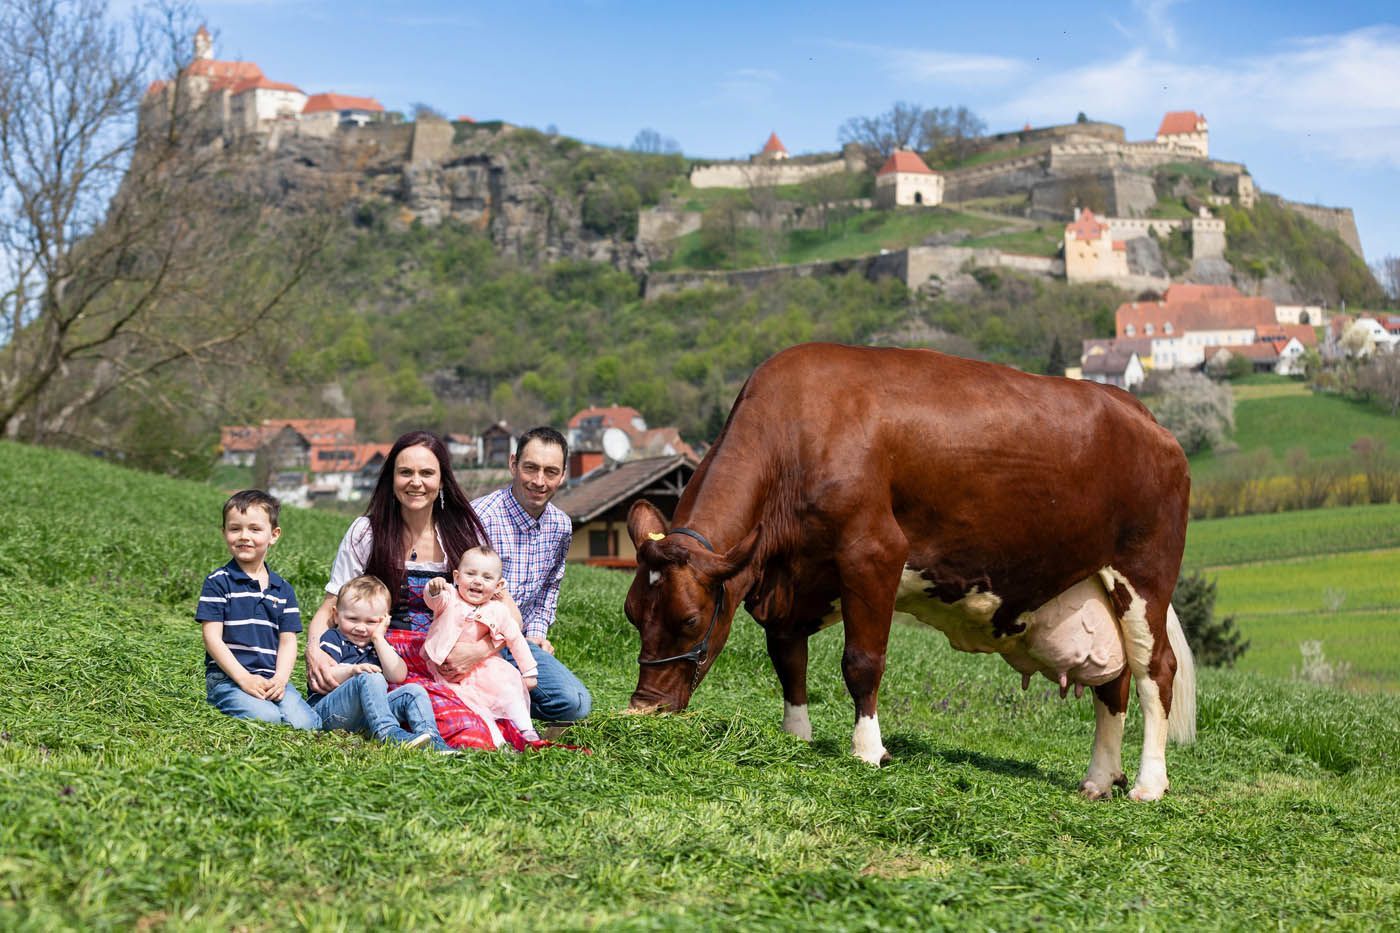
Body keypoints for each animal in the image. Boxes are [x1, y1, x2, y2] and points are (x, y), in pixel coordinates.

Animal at [624, 342, 1196, 801]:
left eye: (691, 620)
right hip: (1095, 587)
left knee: (1155, 673)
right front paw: (796, 737)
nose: (642, 710)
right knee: (1114, 682)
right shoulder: (790, 583)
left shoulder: (873, 554)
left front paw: (868, 750)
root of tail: (1139, 412)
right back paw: (1099, 779)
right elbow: (789, 663)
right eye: (632, 614)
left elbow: (861, 662)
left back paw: (1148, 784)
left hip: (1144, 576)